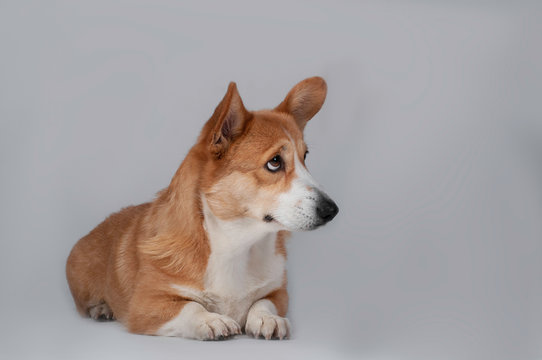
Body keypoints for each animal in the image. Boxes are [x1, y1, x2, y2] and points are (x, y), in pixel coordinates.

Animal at [66, 76, 338, 340]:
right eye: (274, 162)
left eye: (305, 157)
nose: (332, 210)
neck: (237, 244)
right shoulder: (145, 304)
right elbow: (191, 307)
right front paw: (212, 320)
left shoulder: (278, 292)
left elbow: (263, 302)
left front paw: (267, 319)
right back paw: (102, 308)